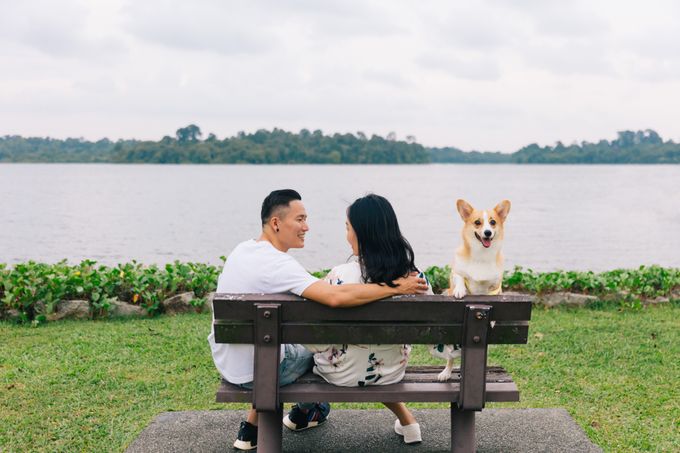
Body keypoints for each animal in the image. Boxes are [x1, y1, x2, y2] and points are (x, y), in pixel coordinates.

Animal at [436, 200, 510, 380]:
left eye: (492, 222)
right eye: (477, 222)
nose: (488, 232)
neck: (481, 255)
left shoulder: (496, 286)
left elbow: (494, 297)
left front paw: (490, 318)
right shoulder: (456, 271)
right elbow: (460, 278)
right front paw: (460, 291)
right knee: (450, 357)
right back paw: (446, 372)